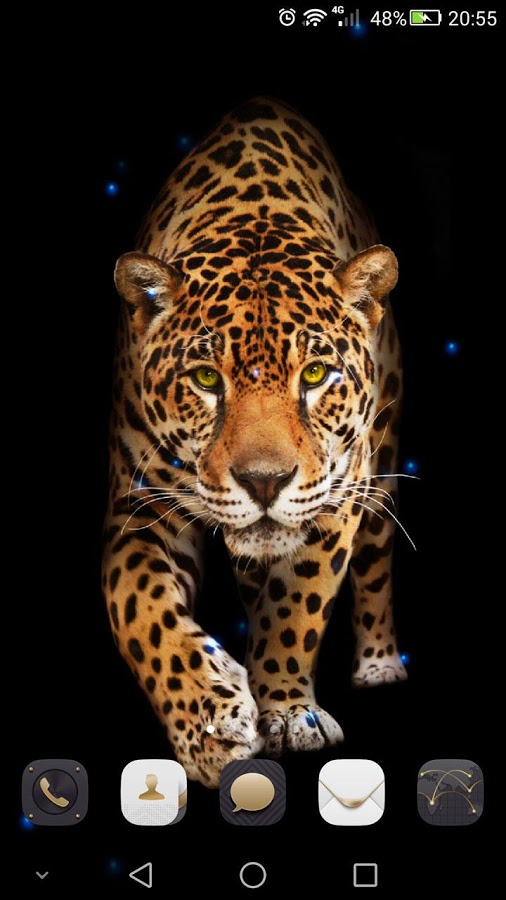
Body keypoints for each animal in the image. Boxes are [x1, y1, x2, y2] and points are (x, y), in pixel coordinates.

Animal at [103, 97, 407, 788]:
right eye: (206, 379)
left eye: (315, 375)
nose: (264, 481)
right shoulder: (138, 508)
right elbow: (140, 609)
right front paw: (209, 725)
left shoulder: (338, 494)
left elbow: (296, 606)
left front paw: (288, 711)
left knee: (376, 566)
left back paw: (380, 664)